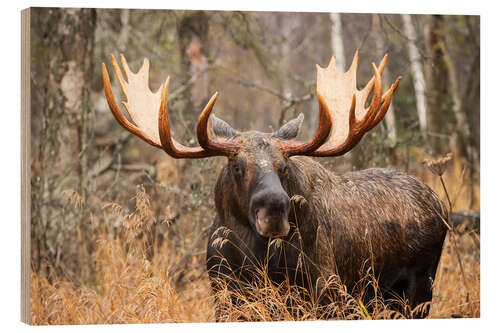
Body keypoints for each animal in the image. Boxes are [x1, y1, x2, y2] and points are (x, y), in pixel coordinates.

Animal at [102, 52, 450, 320]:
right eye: (238, 166)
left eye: (283, 166)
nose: (273, 209)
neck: (253, 256)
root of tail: (439, 203)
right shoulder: (224, 294)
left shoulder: (324, 291)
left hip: (419, 289)